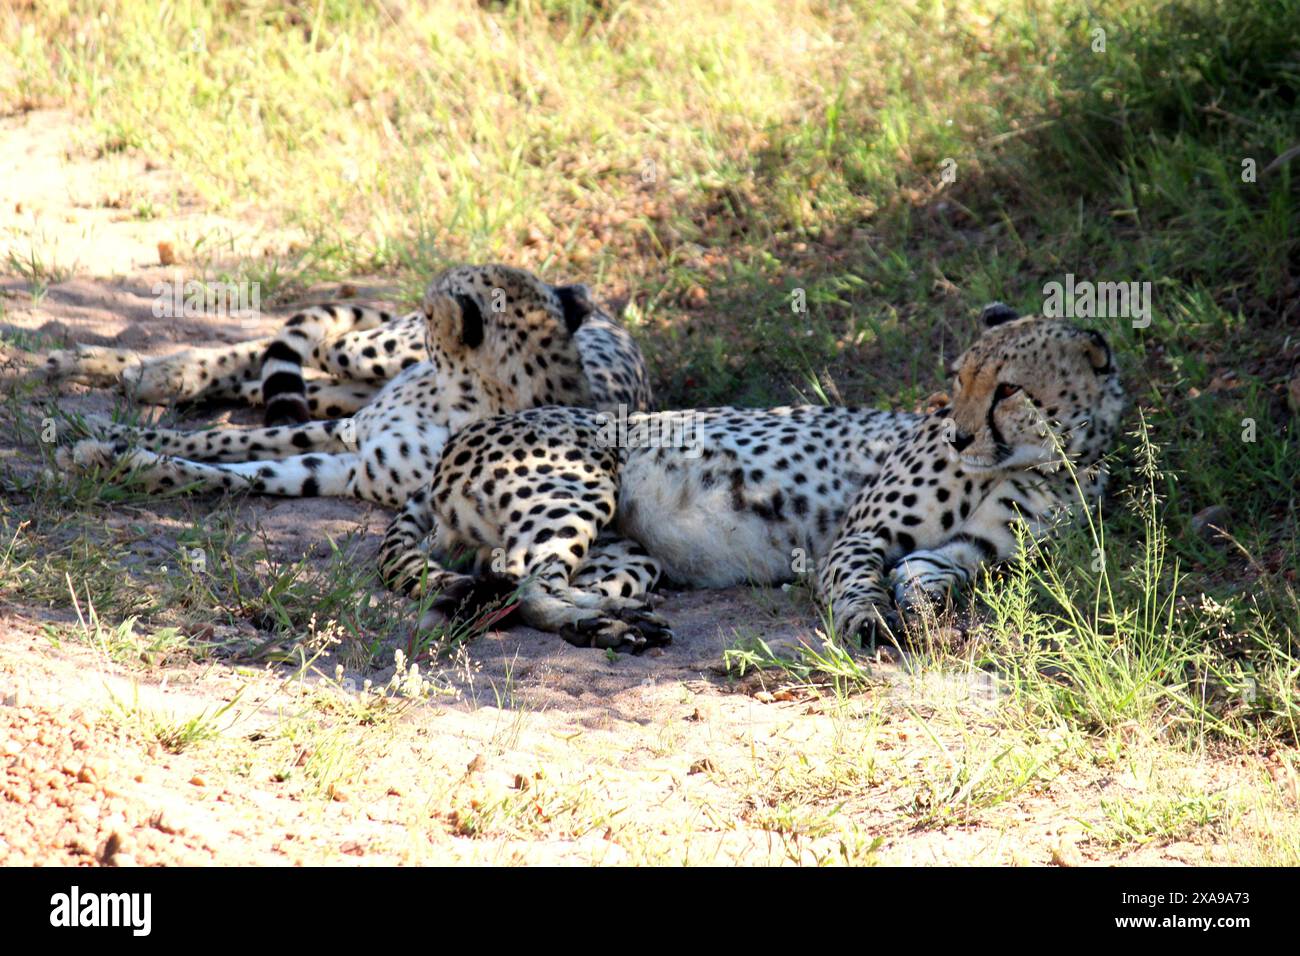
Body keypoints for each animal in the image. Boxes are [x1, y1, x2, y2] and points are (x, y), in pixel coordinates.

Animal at [53, 265, 653, 508]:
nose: (429, 289)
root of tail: (607, 317)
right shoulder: (348, 433)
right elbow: (220, 439)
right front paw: (106, 436)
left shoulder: (348, 468)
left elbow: (239, 470)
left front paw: (119, 457)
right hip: (375, 351)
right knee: (305, 345)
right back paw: (136, 367)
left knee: (299, 369)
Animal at [377, 304, 1125, 652]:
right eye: (960, 378)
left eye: (1008, 389)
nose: (959, 435)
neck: (1039, 463)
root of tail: (459, 438)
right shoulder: (856, 539)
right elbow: (858, 584)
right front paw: (870, 620)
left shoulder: (955, 554)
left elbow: (923, 579)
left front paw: (928, 619)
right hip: (579, 482)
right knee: (522, 580)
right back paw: (615, 625)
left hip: (629, 555)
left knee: (521, 587)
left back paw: (610, 625)